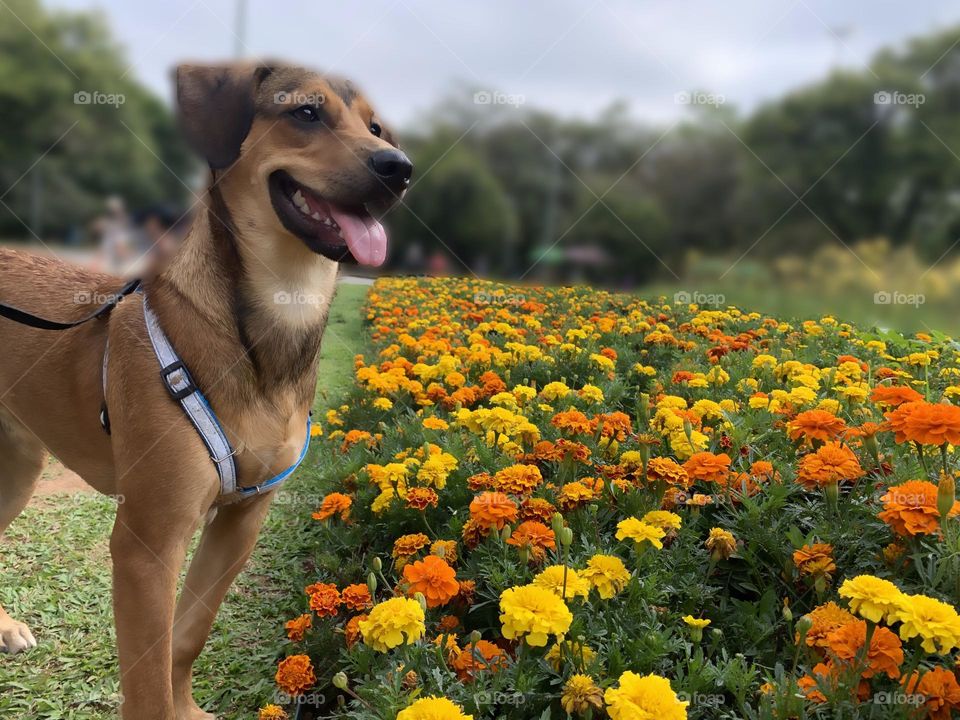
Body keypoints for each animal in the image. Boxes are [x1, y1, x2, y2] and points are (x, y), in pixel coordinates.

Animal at [0, 63, 408, 720]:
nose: (399, 167)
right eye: (306, 113)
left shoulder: (241, 520)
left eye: (375, 128)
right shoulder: (147, 543)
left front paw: (186, 707)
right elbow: (146, 680)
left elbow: (187, 636)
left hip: (17, 466)